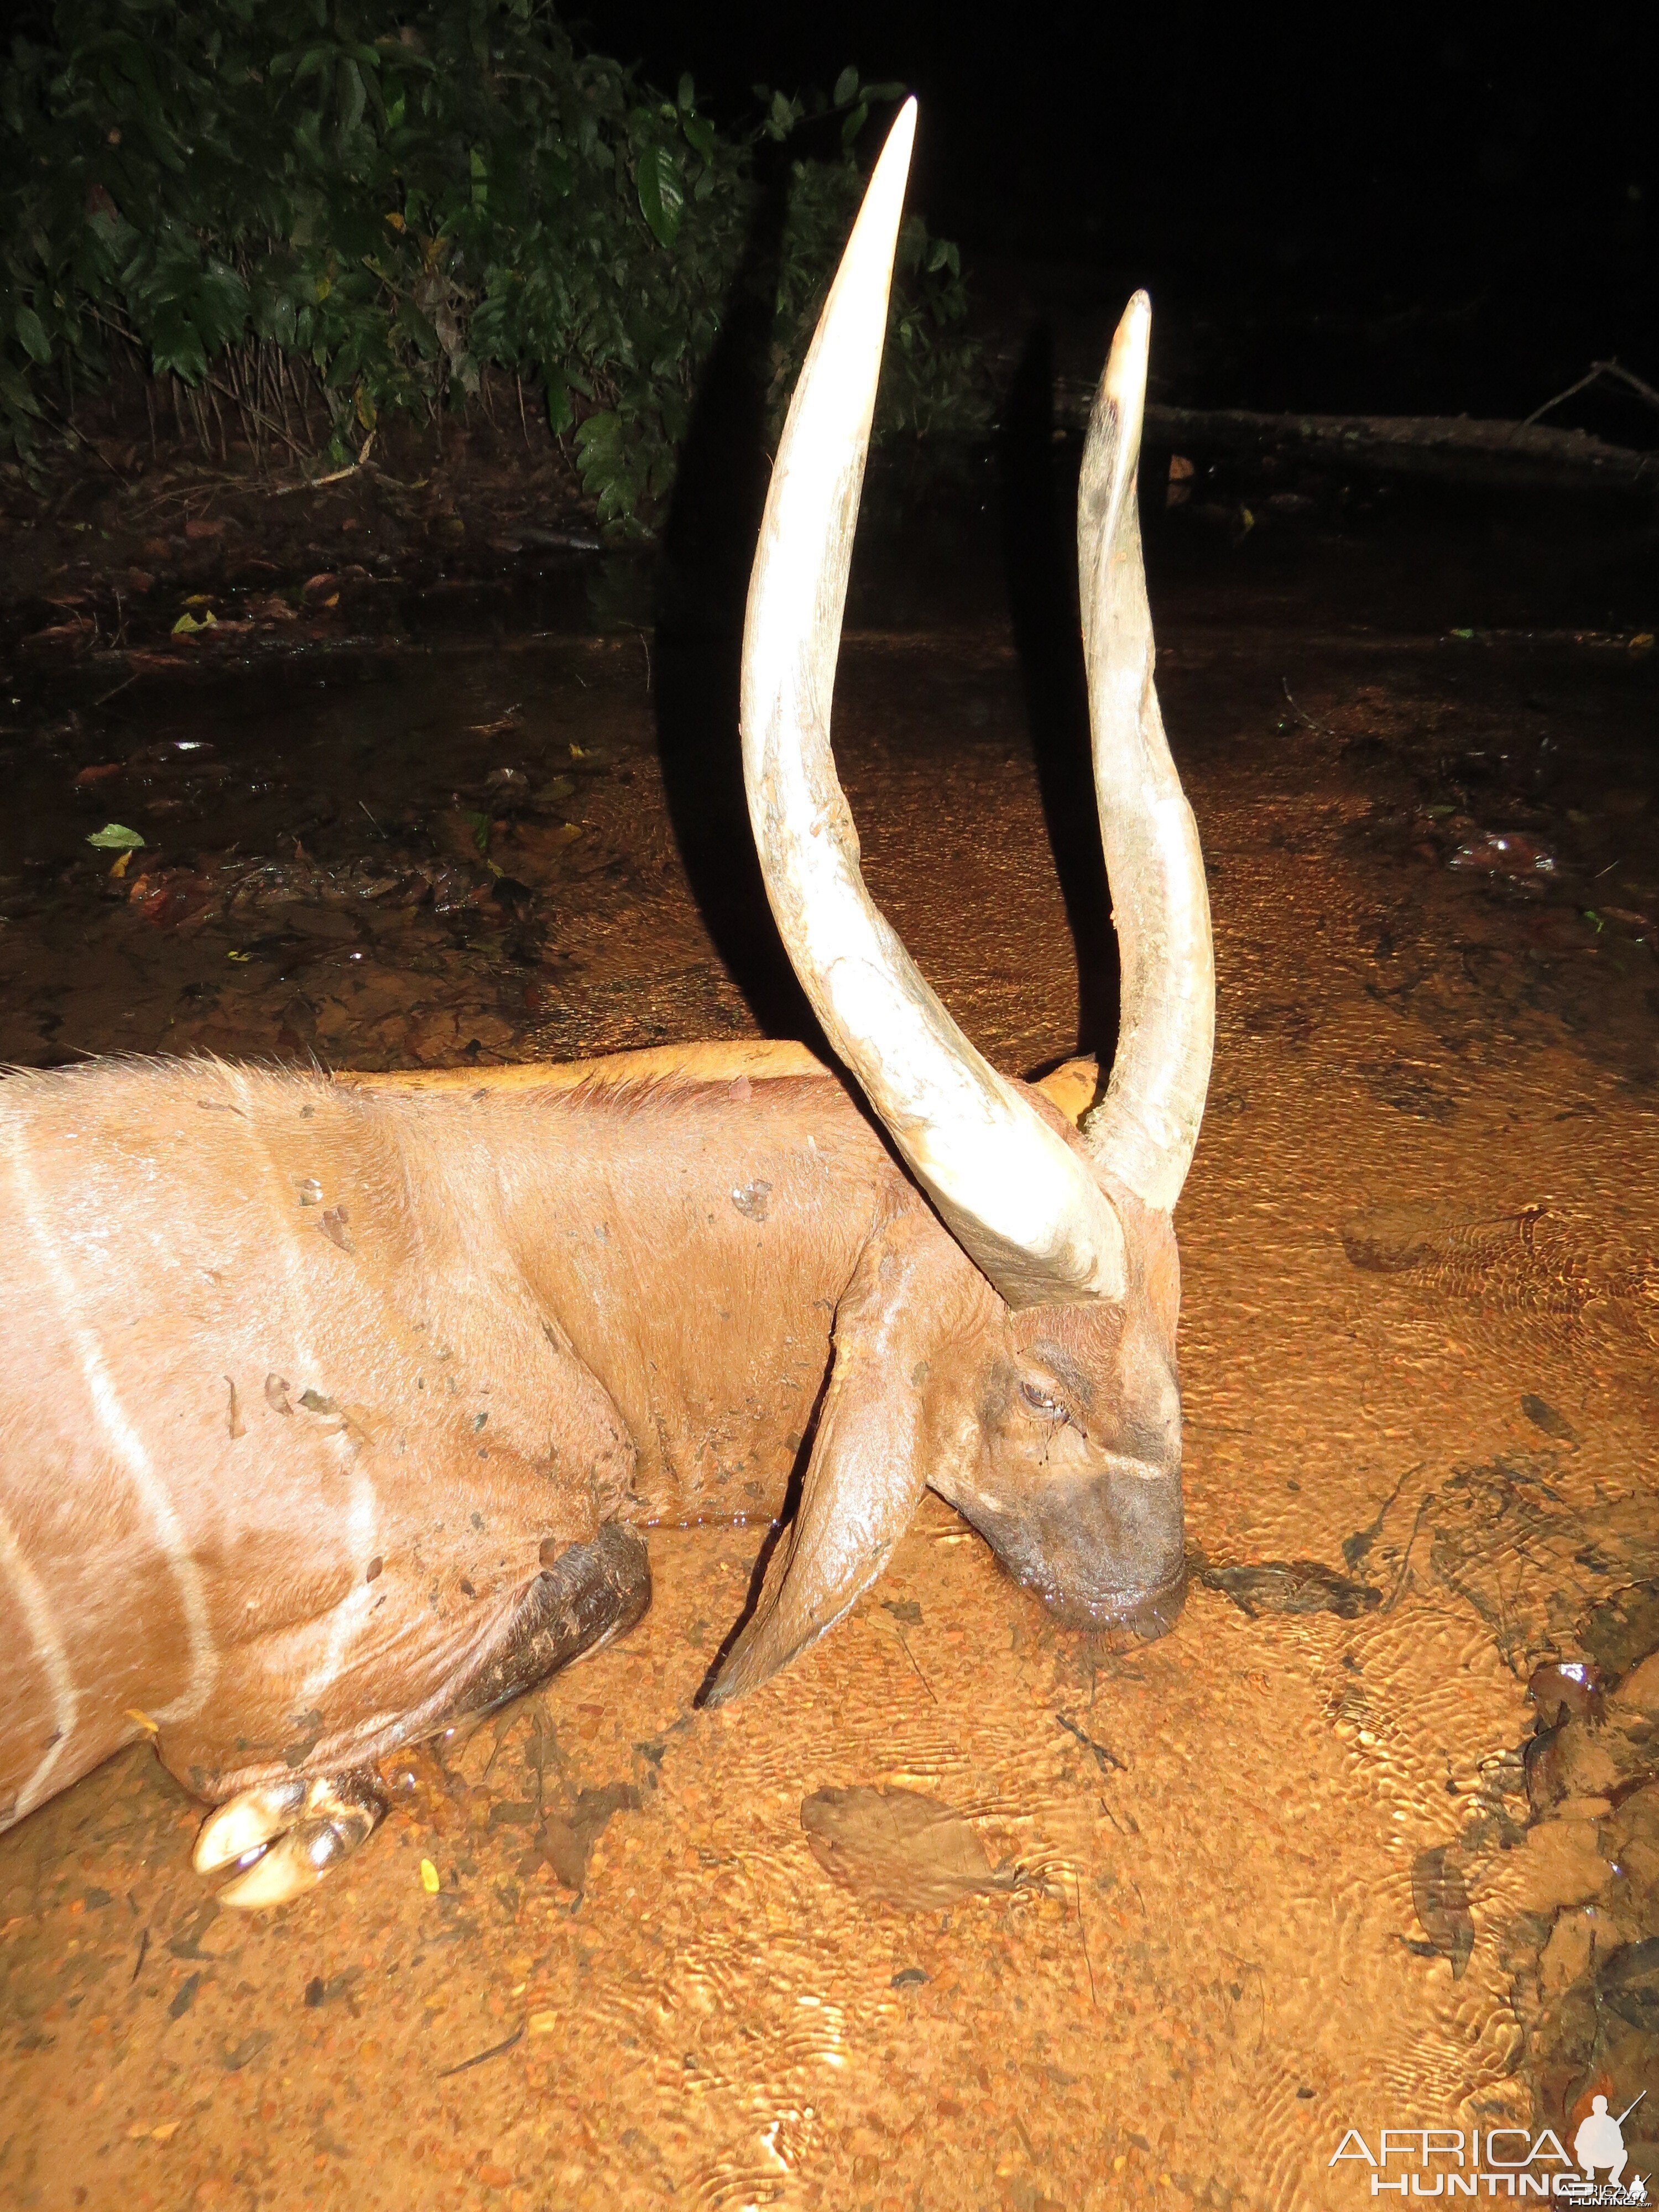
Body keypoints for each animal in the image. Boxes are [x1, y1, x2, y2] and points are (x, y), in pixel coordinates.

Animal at [3, 100, 1221, 1902]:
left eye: (1177, 1341)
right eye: (1043, 1391)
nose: (1154, 1600)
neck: (469, 1251)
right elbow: (608, 1578)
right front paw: (283, 1817)